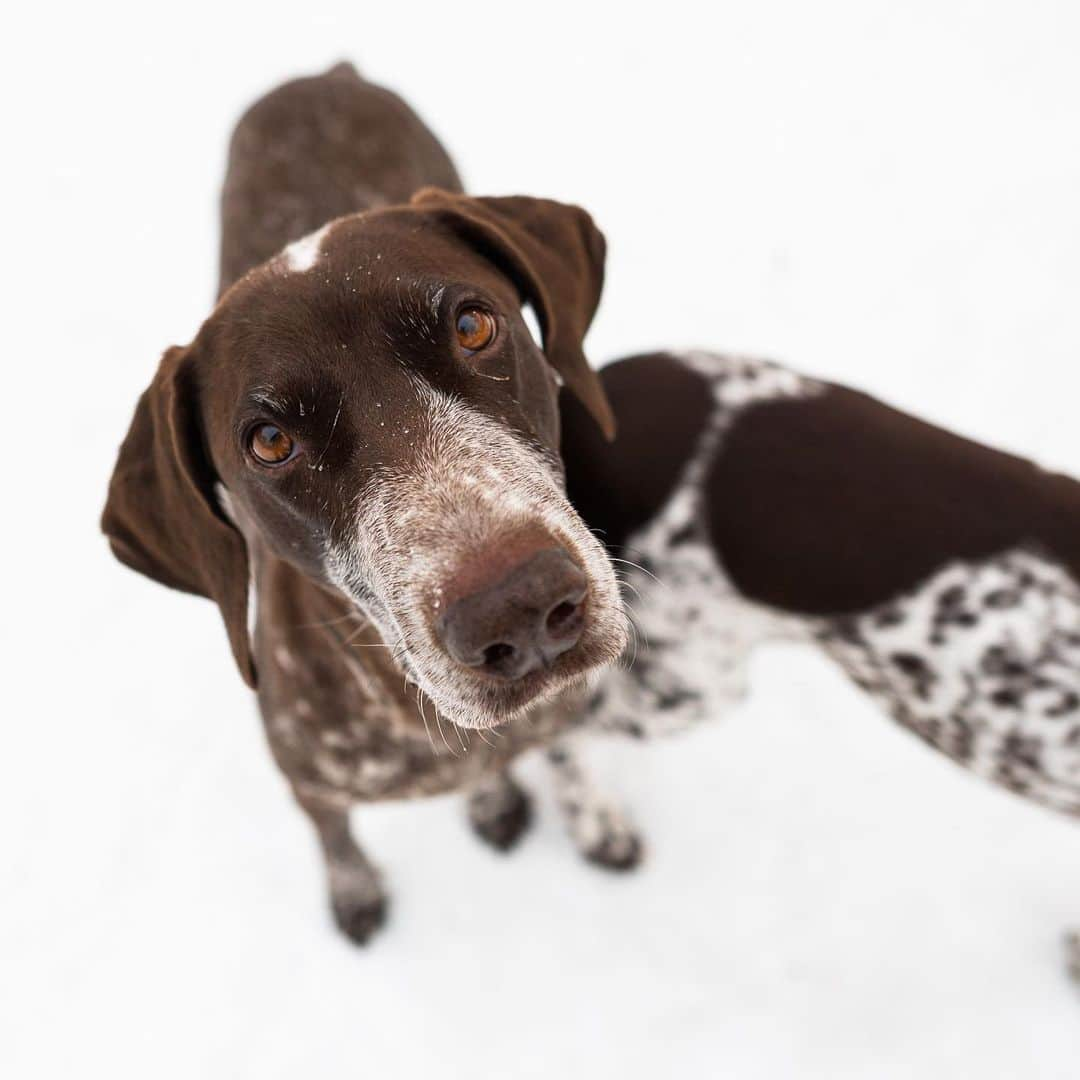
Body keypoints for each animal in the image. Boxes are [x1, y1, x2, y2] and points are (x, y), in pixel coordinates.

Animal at [99, 65, 630, 946]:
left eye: (474, 325)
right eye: (269, 441)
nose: (519, 608)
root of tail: (326, 70)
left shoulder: (564, 713)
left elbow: (565, 754)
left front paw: (590, 820)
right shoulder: (312, 782)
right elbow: (337, 838)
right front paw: (357, 890)